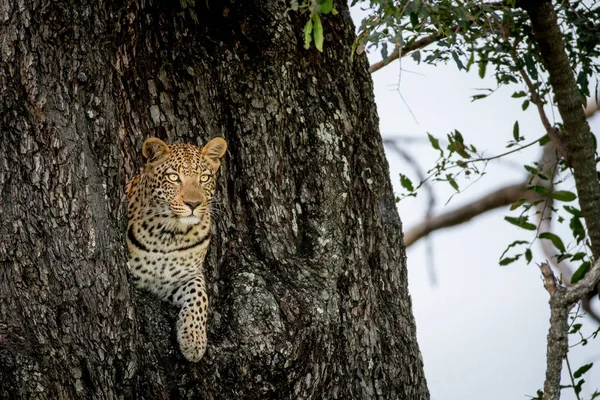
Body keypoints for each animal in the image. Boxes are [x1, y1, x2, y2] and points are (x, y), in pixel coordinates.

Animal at [125, 136, 227, 360]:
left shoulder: (182, 276)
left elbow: (200, 295)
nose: (193, 203)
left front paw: (194, 341)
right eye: (173, 177)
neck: (170, 235)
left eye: (204, 178)